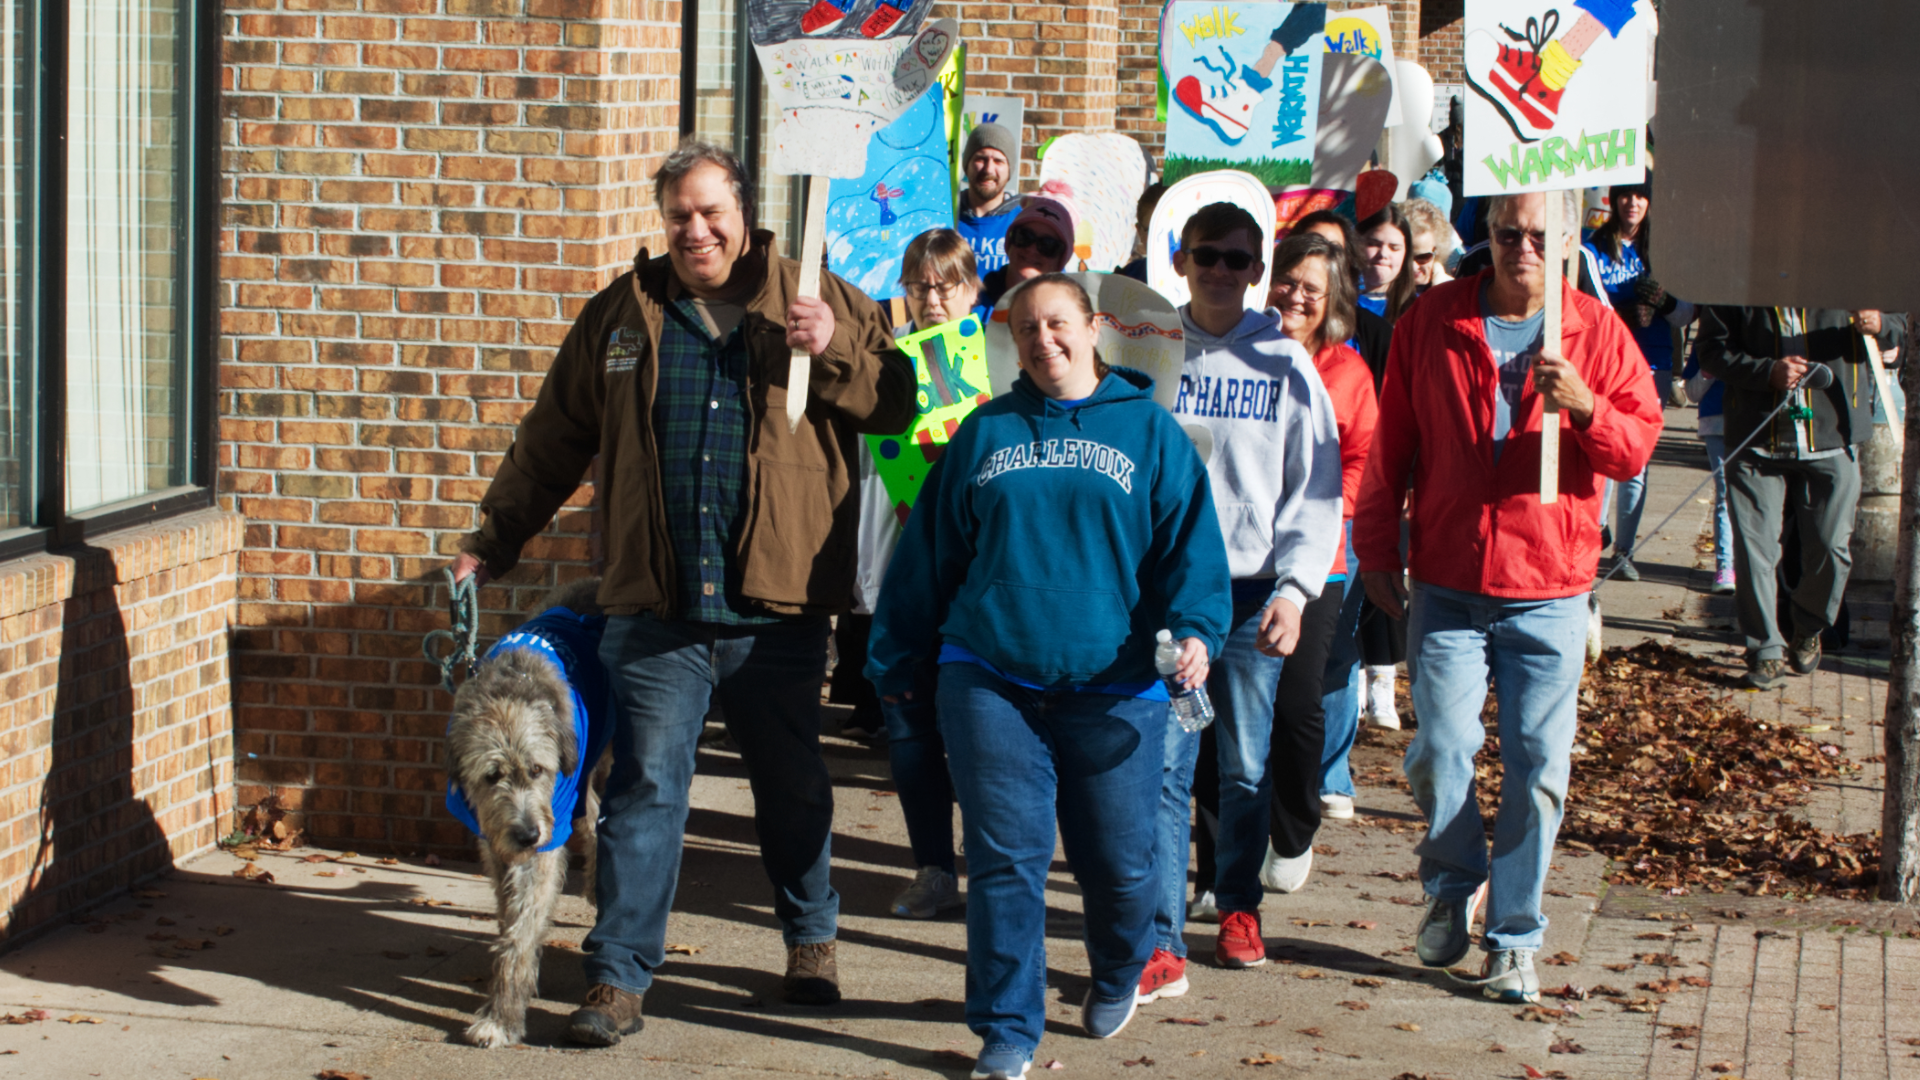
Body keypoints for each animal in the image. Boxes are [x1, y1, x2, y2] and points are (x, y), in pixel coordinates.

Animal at [443, 576, 606, 1045]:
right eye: (491, 775)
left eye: (537, 769)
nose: (529, 835)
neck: (510, 689)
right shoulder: (494, 839)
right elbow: (508, 910)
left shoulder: (549, 827)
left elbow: (522, 924)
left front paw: (502, 1017)